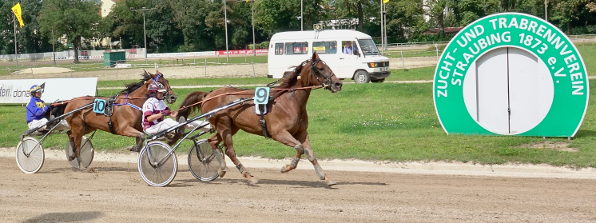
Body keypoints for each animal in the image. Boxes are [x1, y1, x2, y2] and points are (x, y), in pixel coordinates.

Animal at [177, 52, 342, 186]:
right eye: (320, 68)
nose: (338, 83)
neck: (288, 101)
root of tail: (208, 95)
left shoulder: (301, 132)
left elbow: (310, 153)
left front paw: (326, 177)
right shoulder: (279, 133)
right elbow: (299, 148)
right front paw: (286, 167)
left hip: (231, 126)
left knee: (212, 142)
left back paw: (222, 169)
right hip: (223, 125)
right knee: (230, 150)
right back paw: (249, 177)